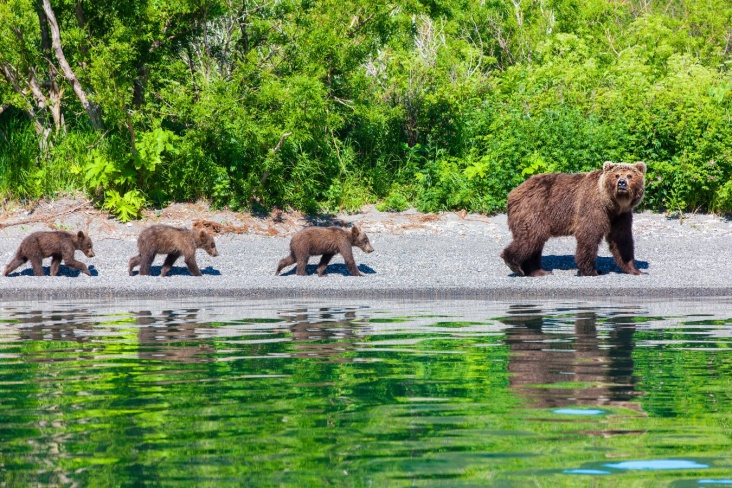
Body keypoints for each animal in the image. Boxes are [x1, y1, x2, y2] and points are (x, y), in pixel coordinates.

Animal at [500, 160, 644, 274]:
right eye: (617, 175)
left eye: (630, 175)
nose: (622, 183)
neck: (612, 204)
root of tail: (513, 192)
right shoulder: (593, 207)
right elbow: (589, 235)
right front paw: (592, 270)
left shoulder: (620, 216)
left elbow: (622, 240)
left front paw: (634, 269)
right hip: (533, 210)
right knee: (531, 237)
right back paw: (513, 263)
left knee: (535, 242)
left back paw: (538, 271)